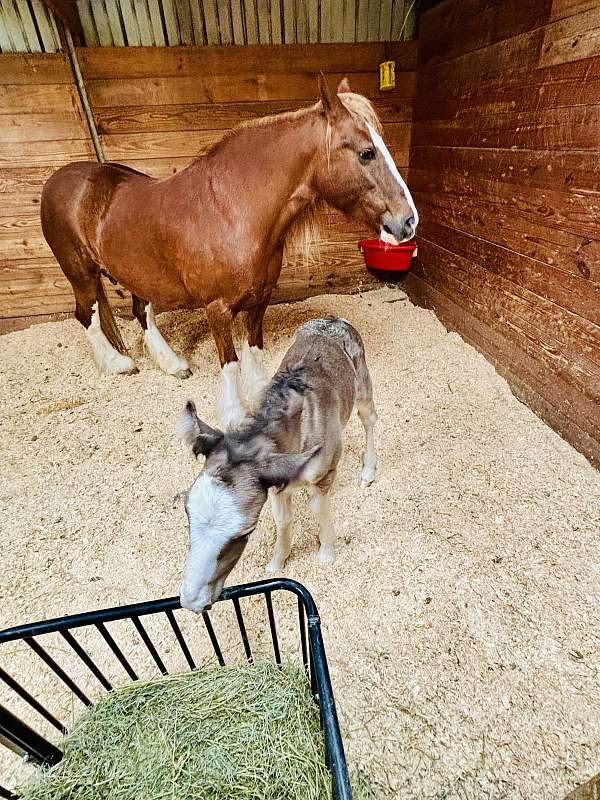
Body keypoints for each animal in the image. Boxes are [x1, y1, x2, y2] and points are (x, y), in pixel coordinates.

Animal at [41, 77, 418, 428]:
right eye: (366, 152)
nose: (408, 221)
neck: (232, 210)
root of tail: (59, 179)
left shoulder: (260, 300)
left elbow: (254, 350)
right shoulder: (218, 310)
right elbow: (231, 363)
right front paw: (236, 416)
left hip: (137, 272)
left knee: (141, 311)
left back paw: (173, 364)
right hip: (80, 273)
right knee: (86, 314)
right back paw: (117, 364)